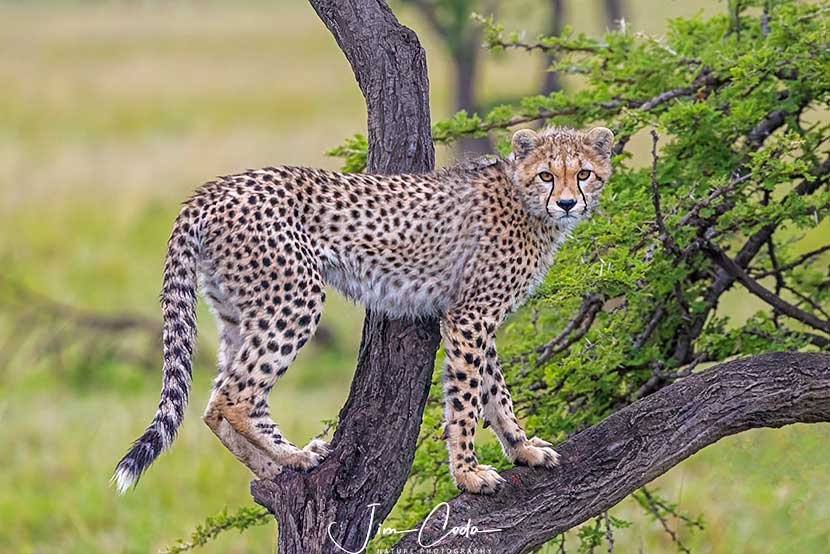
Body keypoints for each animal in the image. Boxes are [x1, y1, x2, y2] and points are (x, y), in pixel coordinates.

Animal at [113, 125, 614, 495]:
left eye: (584, 174)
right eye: (547, 175)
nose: (567, 202)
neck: (525, 201)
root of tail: (216, 187)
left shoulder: (471, 314)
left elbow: (495, 391)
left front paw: (523, 448)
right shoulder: (470, 316)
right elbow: (467, 399)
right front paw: (469, 474)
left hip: (239, 307)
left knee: (216, 401)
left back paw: (277, 467)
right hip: (296, 297)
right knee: (233, 395)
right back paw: (291, 457)